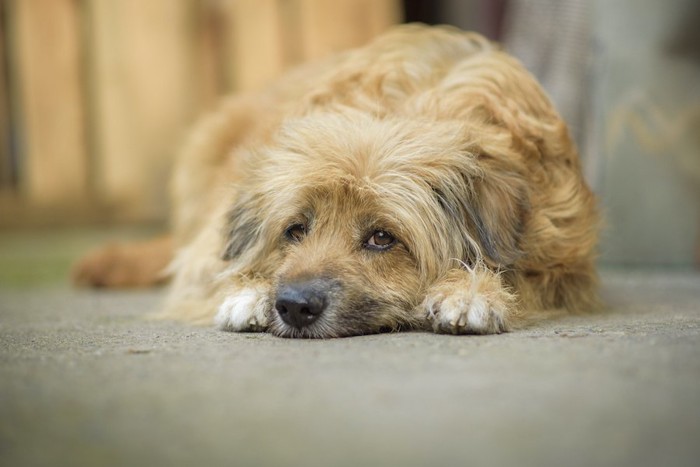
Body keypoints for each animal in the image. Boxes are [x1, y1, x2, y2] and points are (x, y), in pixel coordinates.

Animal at [75, 23, 600, 338]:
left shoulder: (564, 267)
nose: (293, 306)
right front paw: (249, 292)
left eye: (382, 237)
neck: (410, 105)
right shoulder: (208, 248)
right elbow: (211, 270)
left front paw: (469, 291)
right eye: (295, 229)